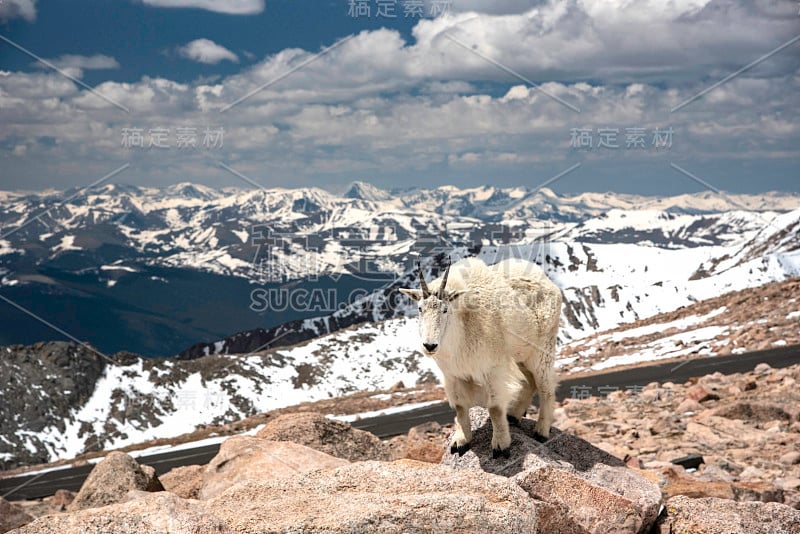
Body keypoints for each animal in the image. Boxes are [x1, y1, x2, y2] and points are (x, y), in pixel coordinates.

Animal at [400, 258, 564, 460]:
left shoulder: (493, 369)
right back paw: (513, 416)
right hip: (520, 354)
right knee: (530, 382)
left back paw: (541, 431)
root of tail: (550, 283)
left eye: (445, 310)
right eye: (420, 309)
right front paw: (460, 442)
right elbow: (460, 407)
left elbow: (494, 408)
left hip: (541, 349)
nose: (430, 346)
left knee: (545, 387)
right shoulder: (452, 374)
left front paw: (501, 446)